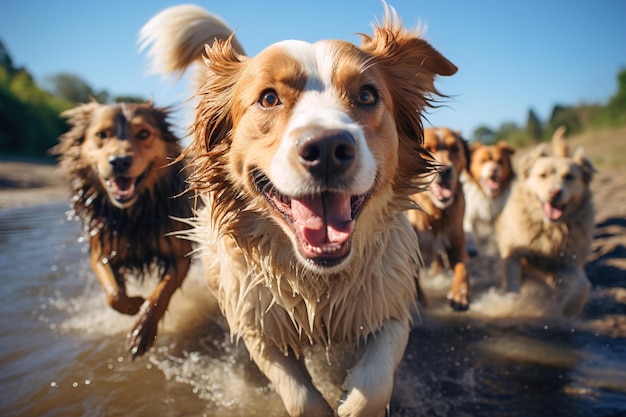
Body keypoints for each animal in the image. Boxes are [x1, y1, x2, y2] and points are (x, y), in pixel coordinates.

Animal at [51, 101, 193, 358]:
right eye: (101, 135)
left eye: (144, 133)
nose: (119, 161)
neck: (132, 213)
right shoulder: (102, 249)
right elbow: (114, 295)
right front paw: (134, 303)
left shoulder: (179, 253)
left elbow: (160, 293)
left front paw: (142, 331)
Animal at [139, 4, 456, 416]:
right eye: (268, 98)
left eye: (367, 95)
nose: (328, 148)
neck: (316, 280)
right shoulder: (258, 325)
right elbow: (300, 395)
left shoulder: (386, 301)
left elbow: (375, 380)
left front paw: (351, 404)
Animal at [404, 126, 468, 308]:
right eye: (427, 149)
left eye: (455, 148)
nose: (445, 170)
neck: (435, 212)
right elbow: (413, 277)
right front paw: (419, 299)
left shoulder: (456, 242)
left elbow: (462, 268)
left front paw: (459, 295)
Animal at [494, 127, 592, 316]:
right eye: (543, 175)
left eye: (569, 177)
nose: (555, 192)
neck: (550, 231)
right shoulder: (514, 254)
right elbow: (512, 285)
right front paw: (511, 307)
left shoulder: (568, 262)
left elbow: (583, 285)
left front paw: (568, 309)